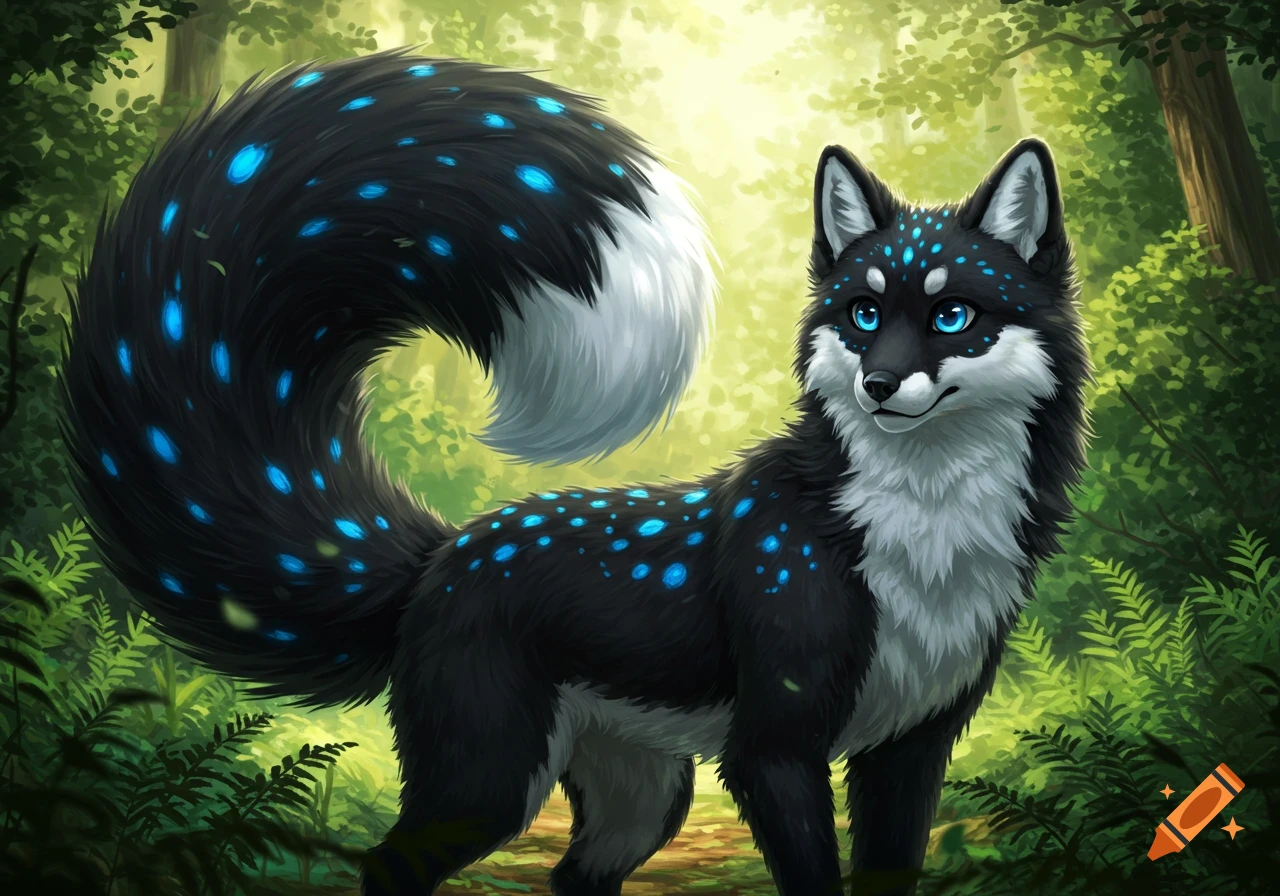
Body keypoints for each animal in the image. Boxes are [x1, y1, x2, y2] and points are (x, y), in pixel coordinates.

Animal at [59, 50, 1088, 896]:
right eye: (864, 315)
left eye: (953, 316)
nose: (878, 385)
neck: (920, 537)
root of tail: (437, 556)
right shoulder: (774, 751)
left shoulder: (909, 752)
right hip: (490, 783)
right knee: (389, 866)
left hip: (642, 800)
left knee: (570, 878)